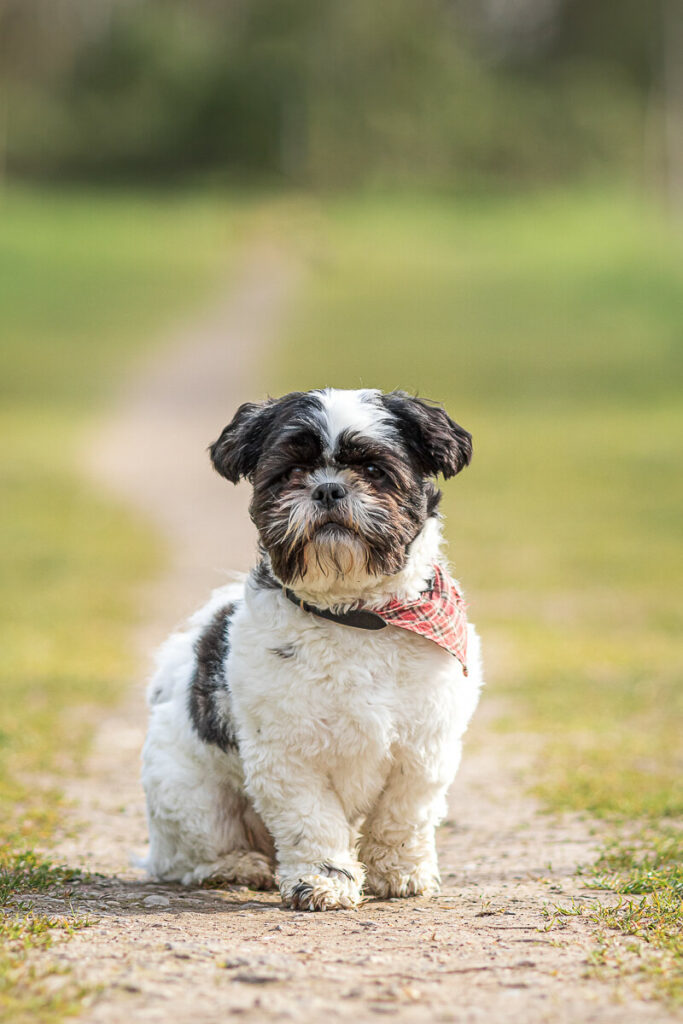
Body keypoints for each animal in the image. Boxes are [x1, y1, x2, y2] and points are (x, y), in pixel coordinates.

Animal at [140, 387, 481, 909]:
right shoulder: (288, 755)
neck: (355, 616)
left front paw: (401, 872)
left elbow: (403, 815)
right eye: (291, 472)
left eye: (374, 469)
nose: (328, 489)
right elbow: (312, 821)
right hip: (189, 792)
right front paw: (323, 881)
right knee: (189, 855)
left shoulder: (425, 747)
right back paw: (235, 866)